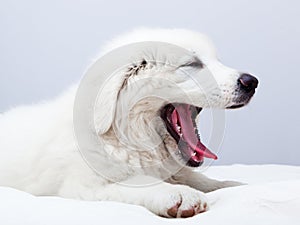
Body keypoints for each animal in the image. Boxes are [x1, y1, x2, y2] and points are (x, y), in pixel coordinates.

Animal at [0, 28, 258, 218]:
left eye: (217, 61)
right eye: (192, 64)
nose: (252, 82)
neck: (126, 137)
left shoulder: (179, 170)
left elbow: (203, 180)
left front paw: (236, 185)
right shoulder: (84, 187)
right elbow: (140, 182)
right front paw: (180, 195)